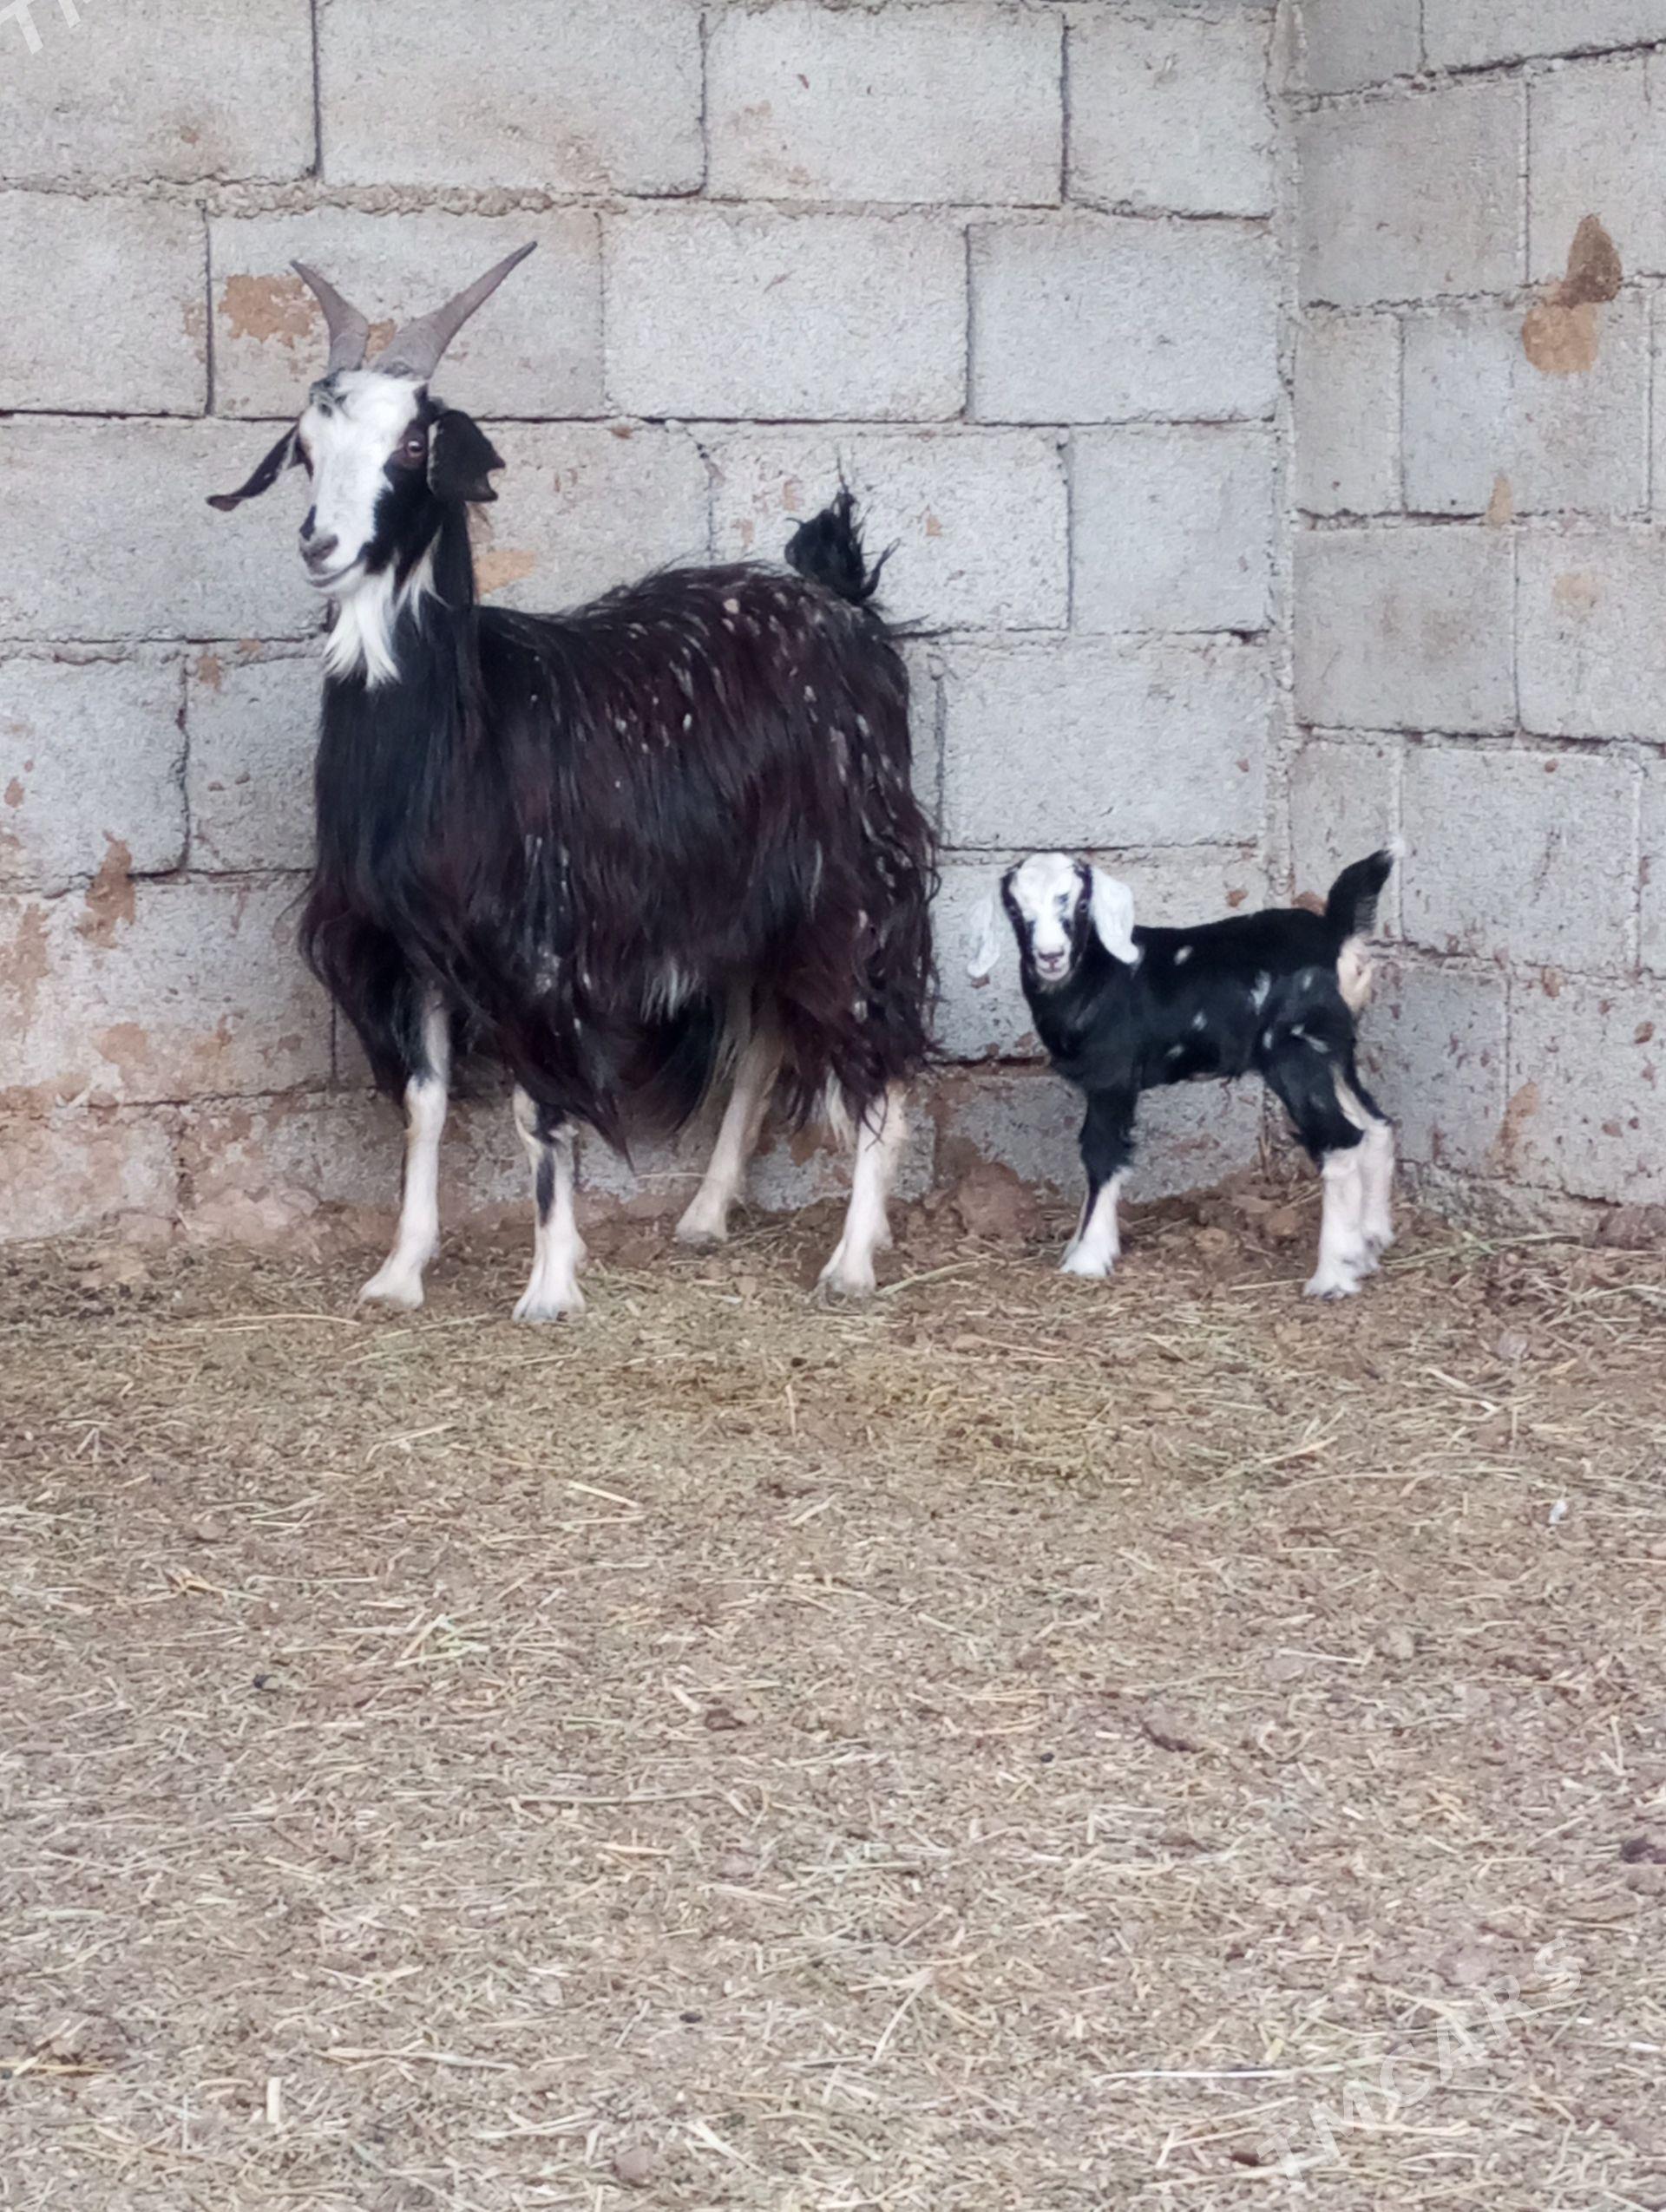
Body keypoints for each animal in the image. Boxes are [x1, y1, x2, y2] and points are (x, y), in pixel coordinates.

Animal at [208, 247, 935, 1317]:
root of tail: (843, 603)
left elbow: (537, 1112)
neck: (457, 735)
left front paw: (551, 1284)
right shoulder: (408, 942)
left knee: (874, 1040)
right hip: (753, 895)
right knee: (764, 1038)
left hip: (856, 874)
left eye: (413, 443)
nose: (320, 545)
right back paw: (706, 1216)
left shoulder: (540, 944)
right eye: (305, 449)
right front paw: (399, 1272)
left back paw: (851, 1260)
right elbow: (425, 1106)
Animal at [968, 850, 1398, 1298]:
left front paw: (1088, 1257)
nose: (1050, 955)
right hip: (1334, 1052)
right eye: (1015, 909)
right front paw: (1077, 1246)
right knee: (1375, 1125)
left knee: (1340, 1140)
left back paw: (1332, 1276)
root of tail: (1336, 934)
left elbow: (1101, 1153)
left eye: (1081, 904)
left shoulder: (1113, 1075)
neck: (1096, 978)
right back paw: (1370, 1244)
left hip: (1295, 1052)